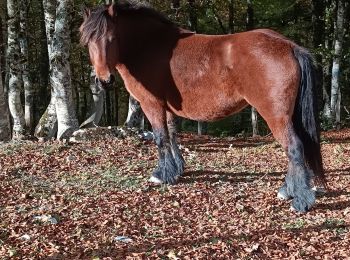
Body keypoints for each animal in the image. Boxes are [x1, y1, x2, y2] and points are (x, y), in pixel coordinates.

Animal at [80, 0, 326, 211]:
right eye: (88, 41)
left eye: (111, 38)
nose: (104, 80)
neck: (149, 45)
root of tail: (289, 46)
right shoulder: (169, 107)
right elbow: (173, 135)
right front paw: (177, 169)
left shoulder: (152, 105)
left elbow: (160, 138)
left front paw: (161, 175)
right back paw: (288, 191)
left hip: (275, 115)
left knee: (294, 148)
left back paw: (300, 200)